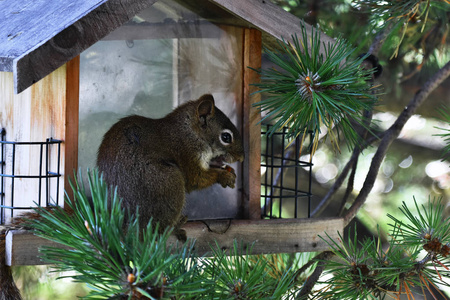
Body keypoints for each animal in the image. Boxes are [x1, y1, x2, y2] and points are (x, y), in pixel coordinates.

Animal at [96, 94, 244, 239]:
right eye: (226, 137)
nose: (241, 158)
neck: (189, 132)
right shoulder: (186, 154)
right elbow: (196, 179)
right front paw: (224, 176)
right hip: (169, 181)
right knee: (157, 230)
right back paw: (176, 227)